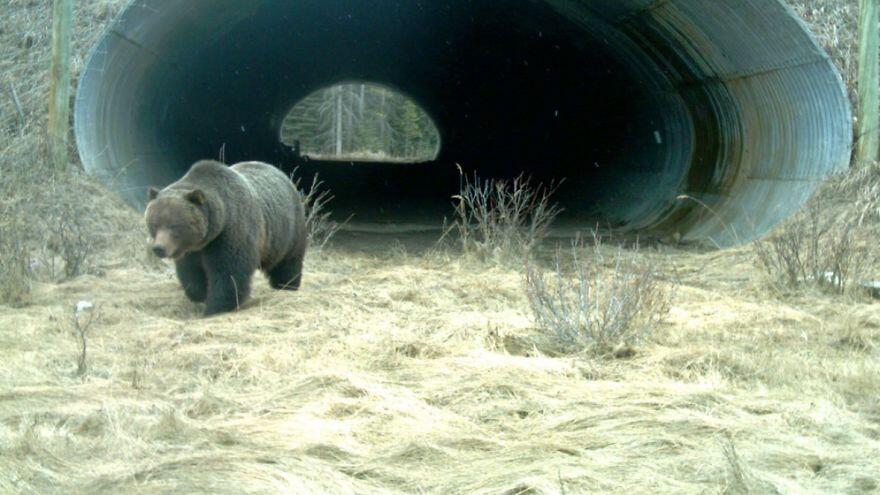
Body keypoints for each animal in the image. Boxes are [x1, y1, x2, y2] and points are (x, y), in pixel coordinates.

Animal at [146, 161, 308, 316]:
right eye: (154, 224)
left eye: (174, 225)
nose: (159, 248)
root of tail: (282, 174)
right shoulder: (191, 250)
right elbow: (191, 273)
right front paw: (200, 294)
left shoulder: (230, 235)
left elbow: (228, 274)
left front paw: (216, 307)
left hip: (287, 232)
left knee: (288, 263)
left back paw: (286, 285)